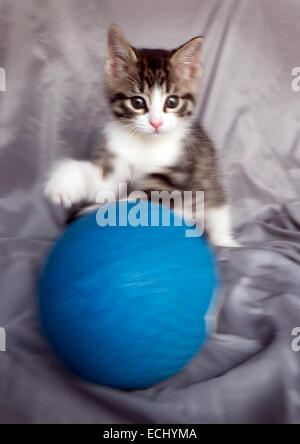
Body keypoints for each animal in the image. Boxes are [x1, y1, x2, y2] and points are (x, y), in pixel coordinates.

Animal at [44, 25, 238, 246]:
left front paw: (92, 209)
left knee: (218, 213)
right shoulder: (116, 155)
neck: (145, 143)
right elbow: (101, 185)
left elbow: (136, 199)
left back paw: (225, 241)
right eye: (137, 102)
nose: (156, 123)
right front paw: (64, 183)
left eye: (172, 102)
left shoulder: (179, 178)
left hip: (213, 189)